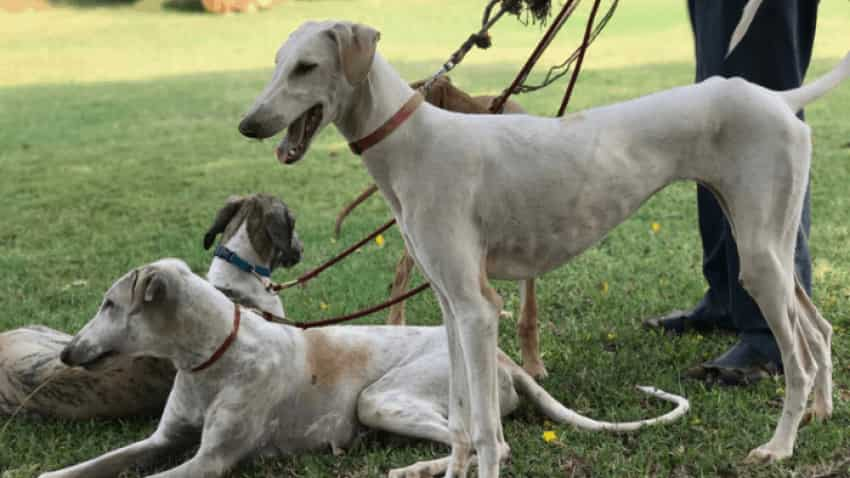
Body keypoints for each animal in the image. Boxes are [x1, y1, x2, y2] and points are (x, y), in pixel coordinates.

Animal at [41, 260, 688, 476]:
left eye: (108, 305)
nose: (67, 355)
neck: (212, 356)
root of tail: (505, 360)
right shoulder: (164, 440)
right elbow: (97, 464)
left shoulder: (211, 461)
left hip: (381, 398)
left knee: (491, 446)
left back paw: (414, 468)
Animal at [235, 20, 844, 476]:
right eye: (276, 62)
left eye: (306, 67)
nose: (248, 125)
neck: (414, 141)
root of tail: (776, 96)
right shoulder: (452, 308)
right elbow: (460, 421)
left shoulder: (480, 310)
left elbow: (486, 428)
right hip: (770, 247)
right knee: (819, 330)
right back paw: (821, 412)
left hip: (759, 258)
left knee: (797, 361)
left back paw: (780, 446)